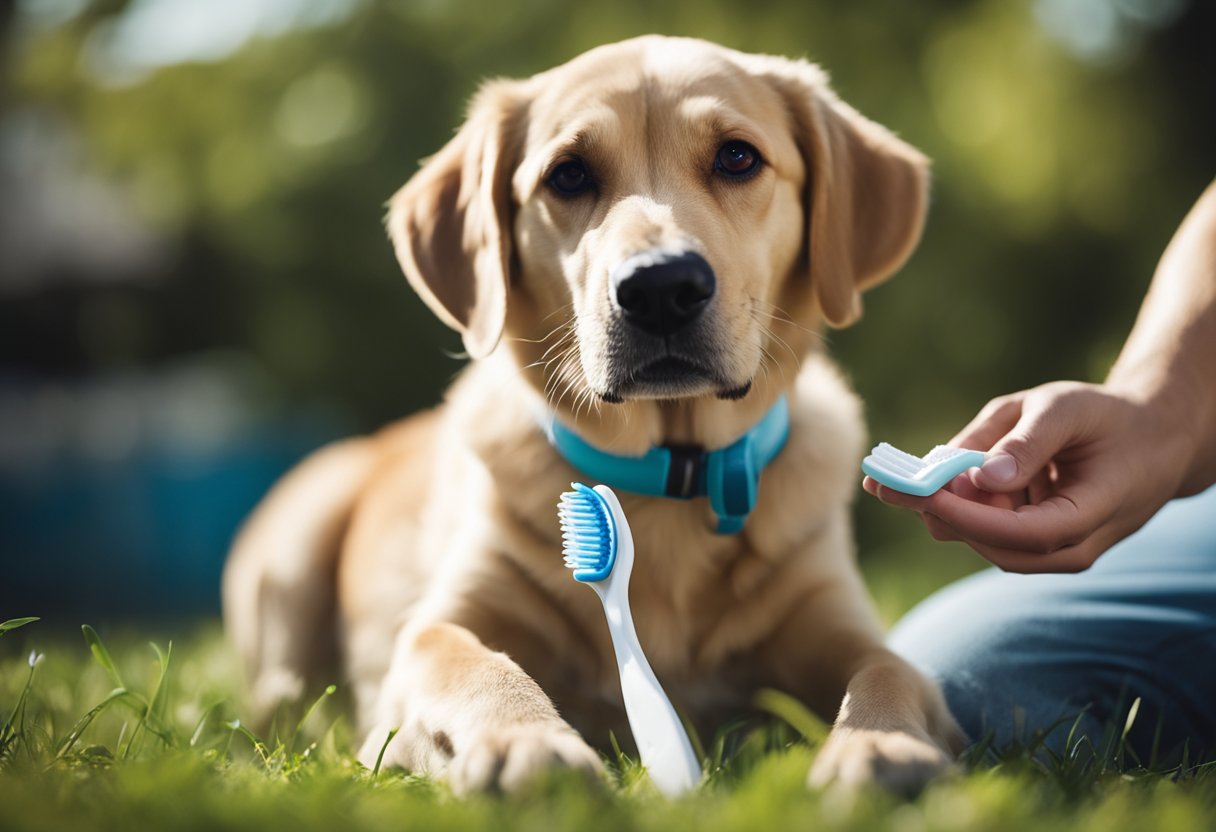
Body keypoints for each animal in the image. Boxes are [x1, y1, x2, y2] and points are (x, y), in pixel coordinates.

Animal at [221, 34, 958, 793]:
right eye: (568, 175)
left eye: (738, 157)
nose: (661, 287)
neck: (670, 476)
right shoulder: (438, 629)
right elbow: (475, 665)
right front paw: (524, 742)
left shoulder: (839, 622)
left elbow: (891, 670)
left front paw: (882, 746)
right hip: (294, 552)